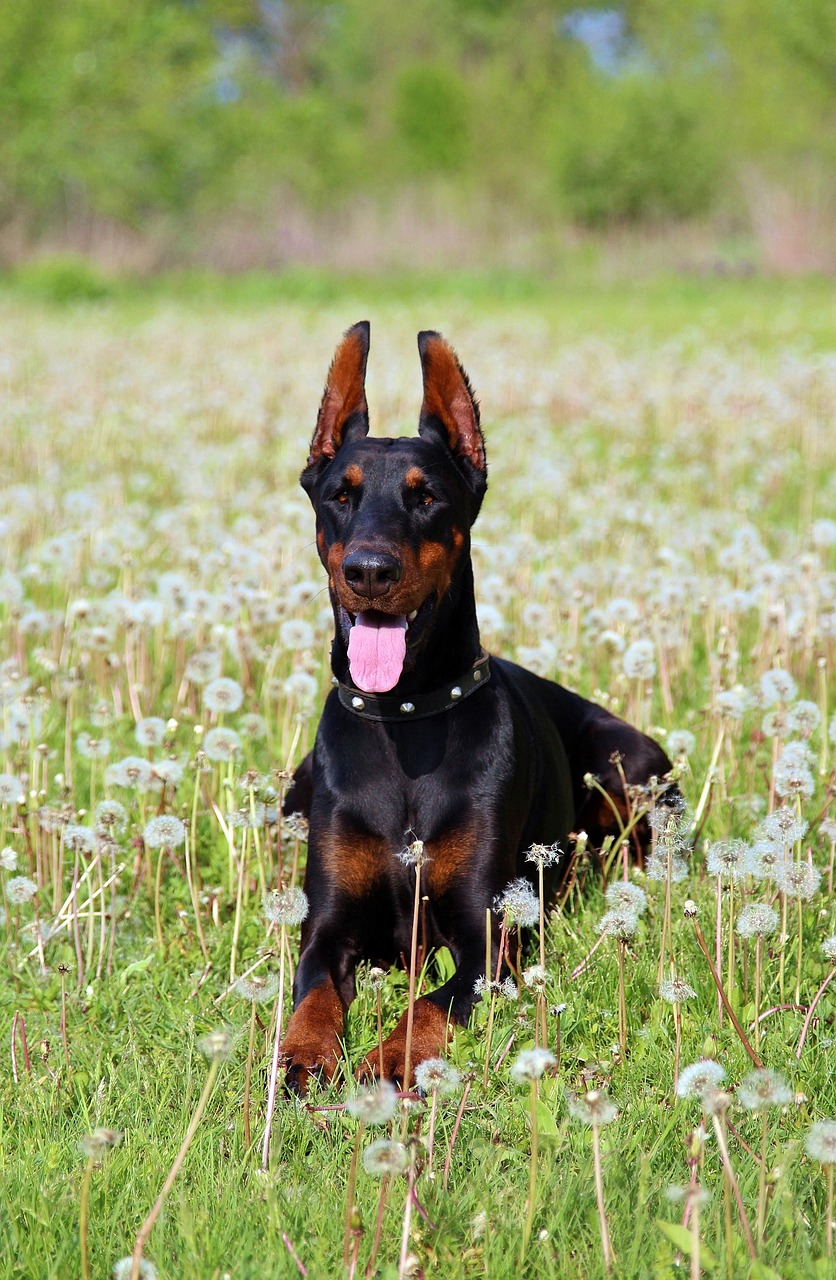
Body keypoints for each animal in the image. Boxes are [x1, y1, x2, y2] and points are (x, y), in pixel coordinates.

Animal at [280, 322, 670, 1090]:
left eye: (426, 496)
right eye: (340, 495)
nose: (369, 571)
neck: (404, 720)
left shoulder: (485, 934)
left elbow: (430, 1002)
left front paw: (391, 1061)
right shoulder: (328, 925)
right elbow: (312, 993)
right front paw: (306, 1054)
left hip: (628, 761)